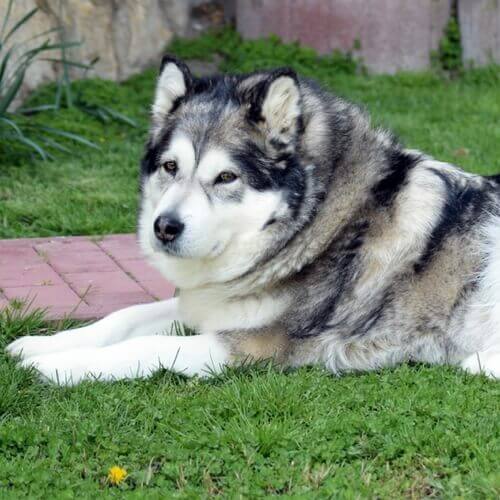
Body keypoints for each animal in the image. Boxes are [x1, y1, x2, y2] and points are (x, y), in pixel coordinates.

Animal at [6, 55, 500, 382]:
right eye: (170, 167)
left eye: (226, 177)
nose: (163, 227)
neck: (318, 225)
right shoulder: (206, 303)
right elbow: (123, 317)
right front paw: (42, 344)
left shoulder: (255, 344)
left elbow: (148, 345)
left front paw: (58, 364)